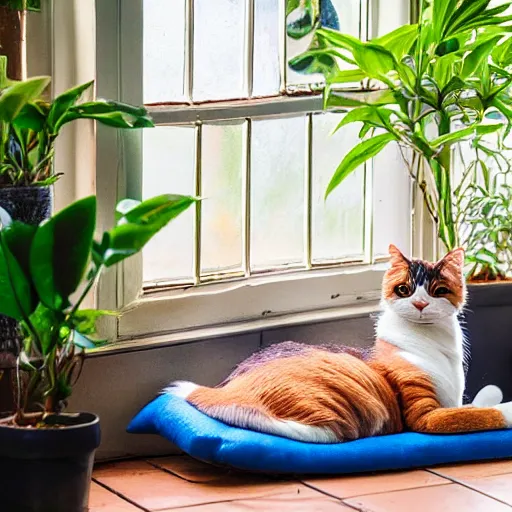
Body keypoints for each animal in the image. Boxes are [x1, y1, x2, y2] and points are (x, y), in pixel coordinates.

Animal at [168, 246, 512, 442]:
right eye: (404, 289)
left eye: (438, 290)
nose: (420, 304)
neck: (432, 342)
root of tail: (224, 390)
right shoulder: (425, 416)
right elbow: (484, 414)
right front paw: (505, 409)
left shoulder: (454, 400)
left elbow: (481, 401)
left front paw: (491, 395)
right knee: (322, 432)